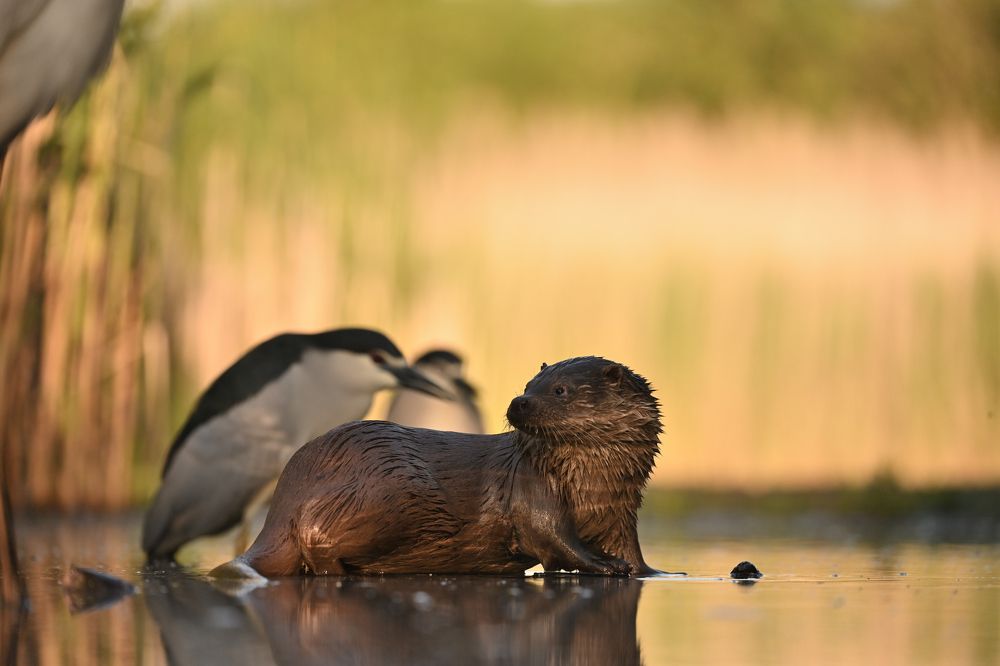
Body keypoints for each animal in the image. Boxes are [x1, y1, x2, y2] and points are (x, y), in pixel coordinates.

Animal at [212, 356, 665, 578]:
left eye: (559, 390)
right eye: (527, 385)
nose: (518, 402)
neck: (593, 487)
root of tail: (287, 496)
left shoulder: (622, 513)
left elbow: (632, 550)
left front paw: (652, 571)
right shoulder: (534, 491)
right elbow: (554, 539)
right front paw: (606, 565)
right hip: (390, 489)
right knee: (315, 537)